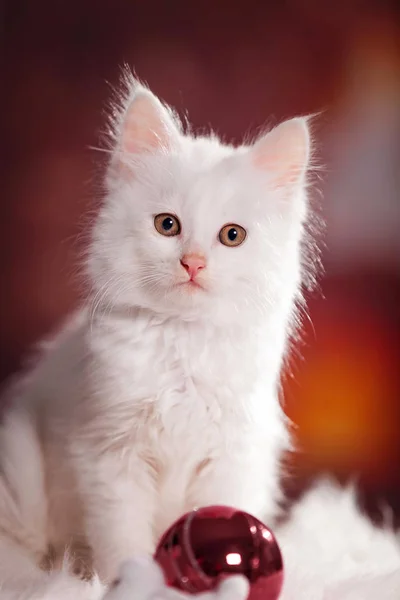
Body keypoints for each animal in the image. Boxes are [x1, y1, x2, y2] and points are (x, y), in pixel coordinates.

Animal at [0, 76, 312, 596]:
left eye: (232, 236)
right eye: (168, 226)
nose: (193, 263)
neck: (181, 344)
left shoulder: (231, 456)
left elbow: (222, 523)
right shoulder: (109, 456)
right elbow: (123, 543)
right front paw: (128, 585)